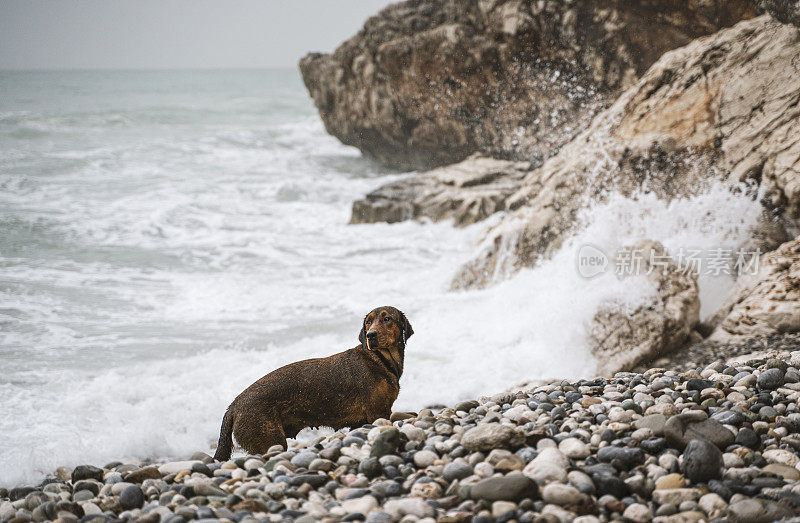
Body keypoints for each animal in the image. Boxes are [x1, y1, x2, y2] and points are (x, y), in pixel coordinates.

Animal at [212, 304, 412, 460]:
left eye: (387, 318)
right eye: (367, 322)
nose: (370, 335)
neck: (380, 359)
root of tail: (233, 406)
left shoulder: (361, 422)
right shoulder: (378, 413)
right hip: (270, 440)